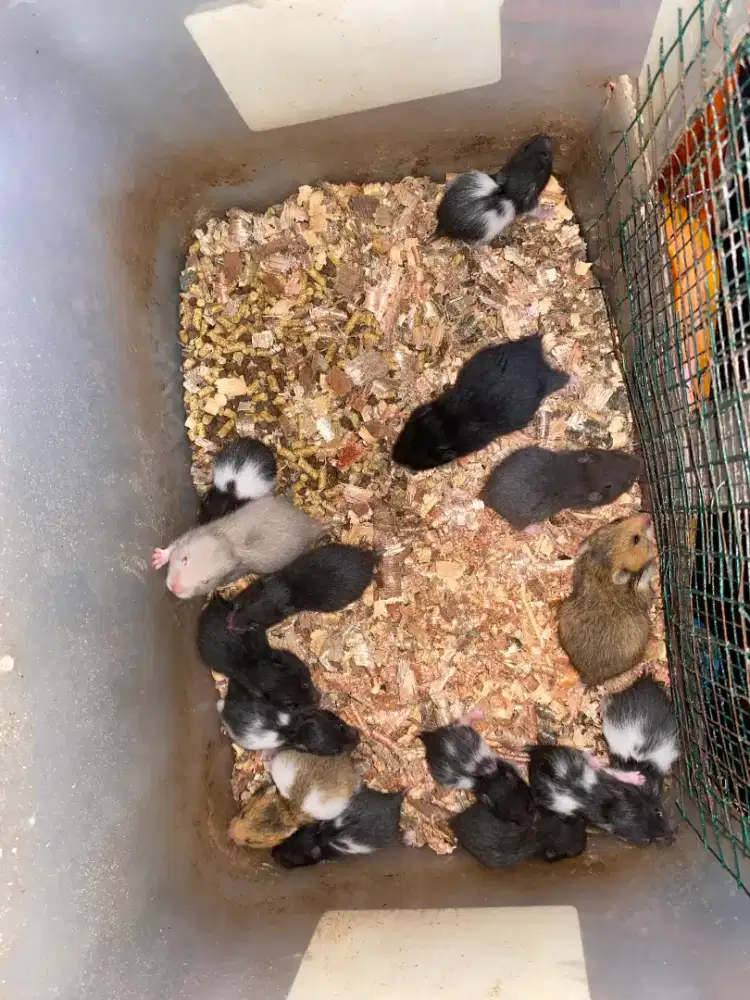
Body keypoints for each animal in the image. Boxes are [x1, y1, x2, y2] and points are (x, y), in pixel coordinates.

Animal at [151, 495, 324, 599]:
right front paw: (157, 558)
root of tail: (313, 526)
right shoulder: (193, 533)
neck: (228, 543)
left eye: (206, 581)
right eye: (185, 560)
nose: (175, 589)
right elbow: (174, 545)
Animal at [392, 334, 569, 471]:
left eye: (413, 463)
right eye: (402, 437)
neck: (448, 423)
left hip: (547, 383)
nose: (394, 457)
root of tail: (538, 360)